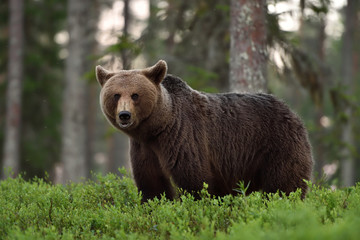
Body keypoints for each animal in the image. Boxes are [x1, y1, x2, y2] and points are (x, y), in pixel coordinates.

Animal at [95, 60, 312, 201]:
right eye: (115, 95)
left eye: (135, 95)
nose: (124, 115)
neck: (156, 129)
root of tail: (291, 111)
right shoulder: (144, 149)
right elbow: (152, 185)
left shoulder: (183, 137)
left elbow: (195, 181)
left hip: (278, 145)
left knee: (284, 185)